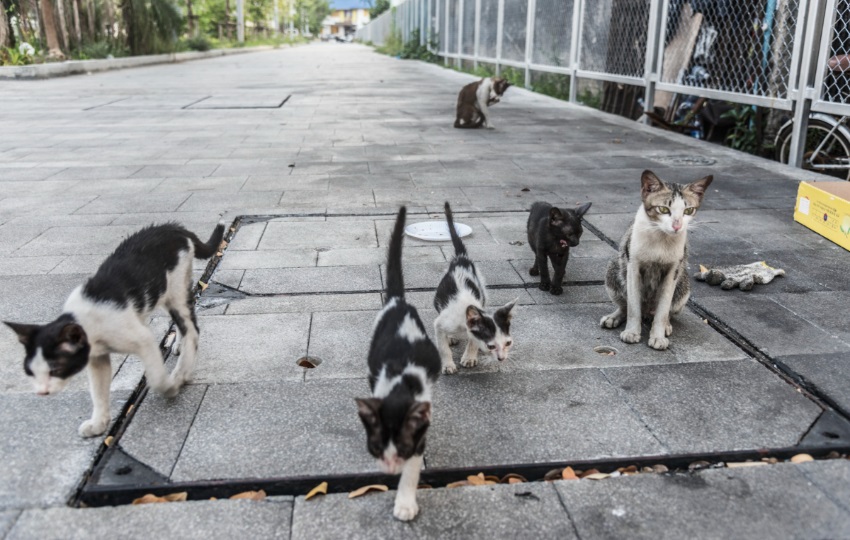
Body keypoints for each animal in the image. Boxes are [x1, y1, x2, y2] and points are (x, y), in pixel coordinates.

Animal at [4, 221, 222, 436]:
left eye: (55, 369)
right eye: (30, 372)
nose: (42, 392)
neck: (86, 320)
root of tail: (173, 226)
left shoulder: (143, 339)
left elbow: (156, 376)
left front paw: (169, 387)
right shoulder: (97, 358)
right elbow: (98, 390)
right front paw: (98, 423)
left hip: (176, 289)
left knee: (191, 329)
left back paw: (181, 371)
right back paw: (178, 346)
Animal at [354, 207, 440, 524]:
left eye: (401, 448)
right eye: (377, 447)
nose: (390, 469)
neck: (401, 384)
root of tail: (397, 301)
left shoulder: (419, 432)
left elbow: (413, 467)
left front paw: (405, 502)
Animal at [430, 200, 516, 374]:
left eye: (508, 343)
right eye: (491, 346)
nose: (502, 358)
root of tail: (461, 258)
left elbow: (473, 340)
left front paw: (470, 357)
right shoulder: (440, 323)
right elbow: (442, 346)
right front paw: (448, 364)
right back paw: (451, 338)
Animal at [600, 171, 712, 352]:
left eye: (688, 210)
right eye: (663, 209)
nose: (677, 226)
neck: (661, 238)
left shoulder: (673, 270)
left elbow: (663, 309)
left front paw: (658, 336)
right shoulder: (633, 266)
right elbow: (633, 306)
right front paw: (632, 332)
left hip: (683, 285)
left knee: (667, 311)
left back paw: (665, 325)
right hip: (614, 267)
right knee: (625, 304)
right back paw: (614, 317)